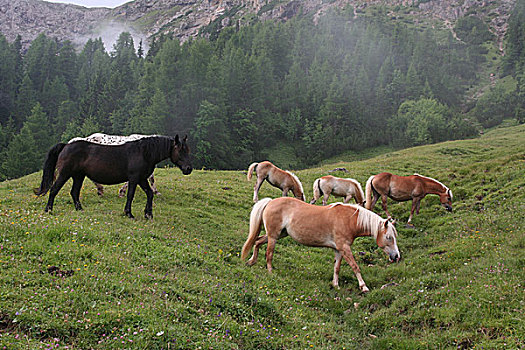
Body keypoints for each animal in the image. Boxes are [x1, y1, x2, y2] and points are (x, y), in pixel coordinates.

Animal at [34, 135, 192, 219]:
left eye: (187, 150)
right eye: (180, 150)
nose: (188, 169)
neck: (143, 152)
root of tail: (66, 145)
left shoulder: (142, 179)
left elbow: (150, 194)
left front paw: (148, 214)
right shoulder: (134, 178)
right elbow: (130, 195)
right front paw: (129, 213)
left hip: (78, 176)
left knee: (74, 192)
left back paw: (80, 209)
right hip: (65, 174)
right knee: (54, 190)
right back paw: (48, 210)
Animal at [239, 197, 400, 292]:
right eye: (389, 237)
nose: (396, 256)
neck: (349, 220)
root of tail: (270, 201)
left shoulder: (338, 249)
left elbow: (337, 267)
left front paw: (335, 285)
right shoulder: (344, 248)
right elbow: (355, 266)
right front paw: (363, 286)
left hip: (279, 234)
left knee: (257, 241)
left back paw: (251, 261)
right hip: (273, 237)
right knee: (269, 254)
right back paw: (270, 272)